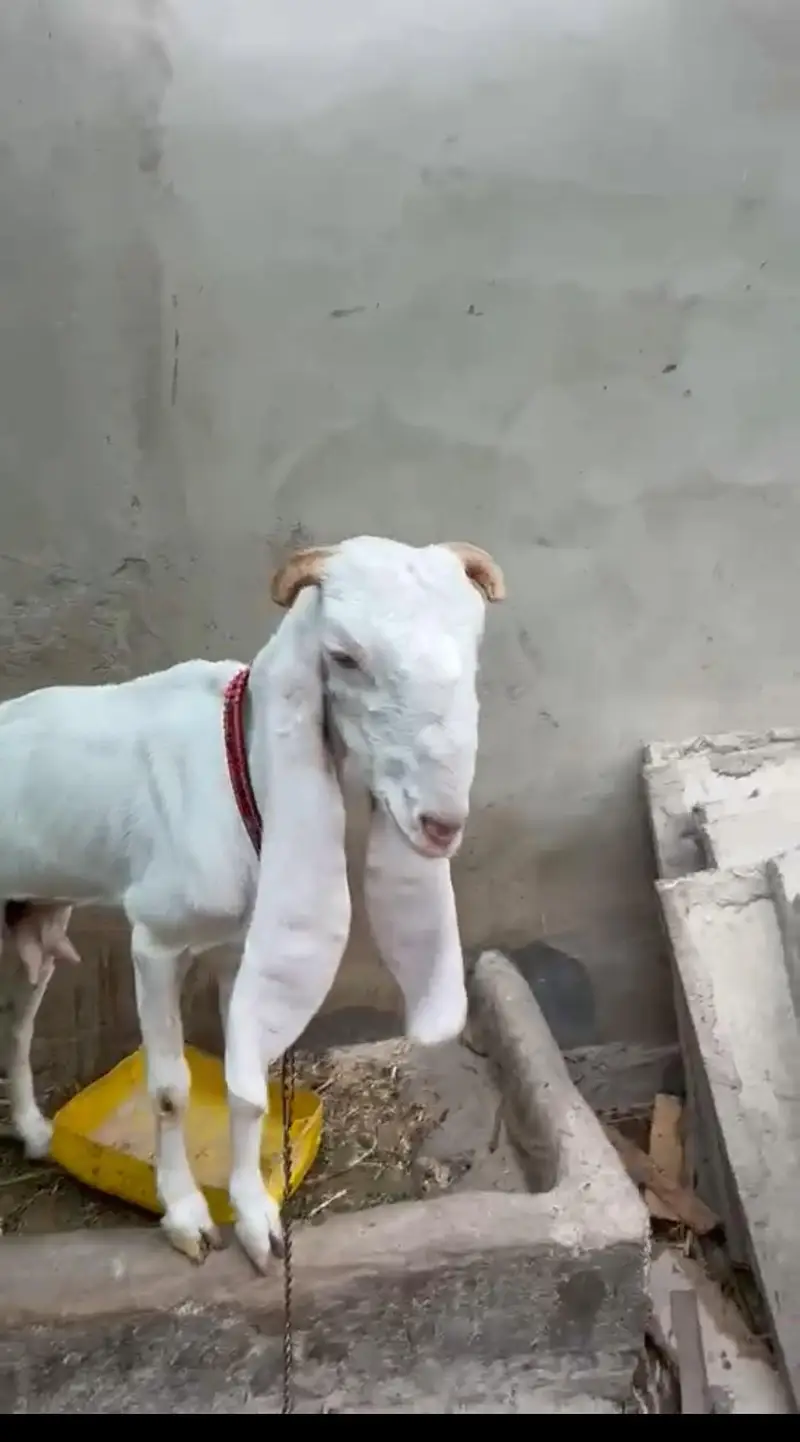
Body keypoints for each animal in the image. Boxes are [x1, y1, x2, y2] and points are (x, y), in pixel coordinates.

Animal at [0, 536, 504, 1272]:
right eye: (343, 656)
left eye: (473, 648)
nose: (441, 824)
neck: (234, 768)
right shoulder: (156, 938)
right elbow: (169, 1088)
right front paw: (186, 1216)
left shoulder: (239, 947)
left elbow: (248, 1084)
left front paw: (256, 1218)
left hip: (37, 907)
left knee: (19, 1015)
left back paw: (35, 1131)